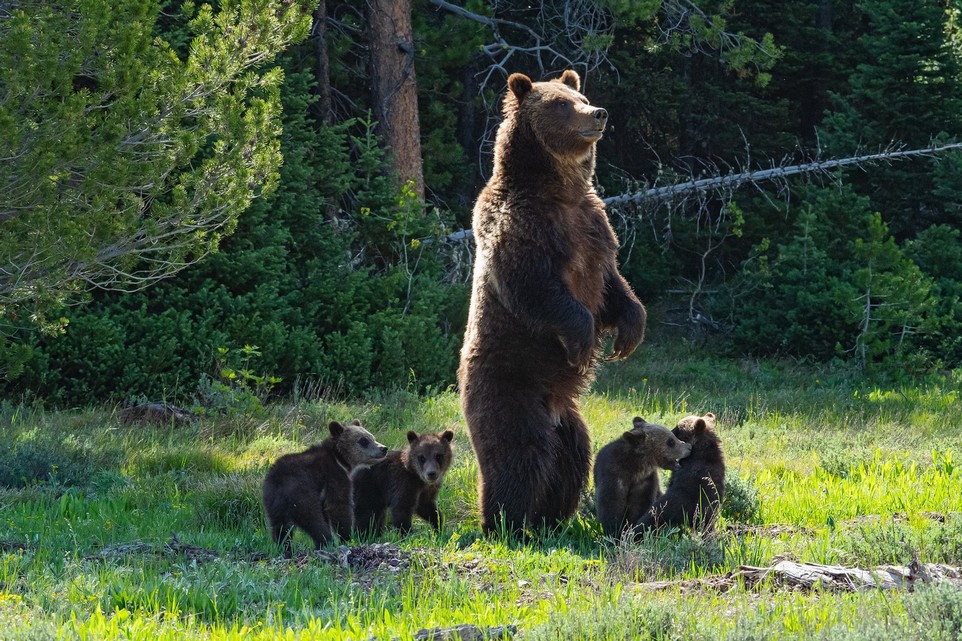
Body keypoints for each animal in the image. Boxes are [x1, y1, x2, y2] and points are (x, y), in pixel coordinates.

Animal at [262, 420, 386, 556]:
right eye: (363, 440)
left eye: (372, 437)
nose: (383, 448)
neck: (340, 459)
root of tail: (279, 482)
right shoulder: (334, 476)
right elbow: (339, 506)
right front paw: (347, 537)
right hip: (301, 493)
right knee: (314, 520)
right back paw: (325, 542)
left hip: (272, 501)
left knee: (280, 527)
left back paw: (285, 547)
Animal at [458, 69, 644, 536]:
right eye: (561, 104)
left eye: (582, 96)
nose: (599, 113)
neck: (560, 190)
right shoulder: (521, 227)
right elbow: (538, 288)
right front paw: (583, 341)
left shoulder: (595, 226)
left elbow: (614, 286)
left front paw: (628, 334)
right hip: (509, 385)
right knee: (520, 454)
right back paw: (506, 522)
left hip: (569, 419)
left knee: (571, 457)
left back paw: (553, 518)